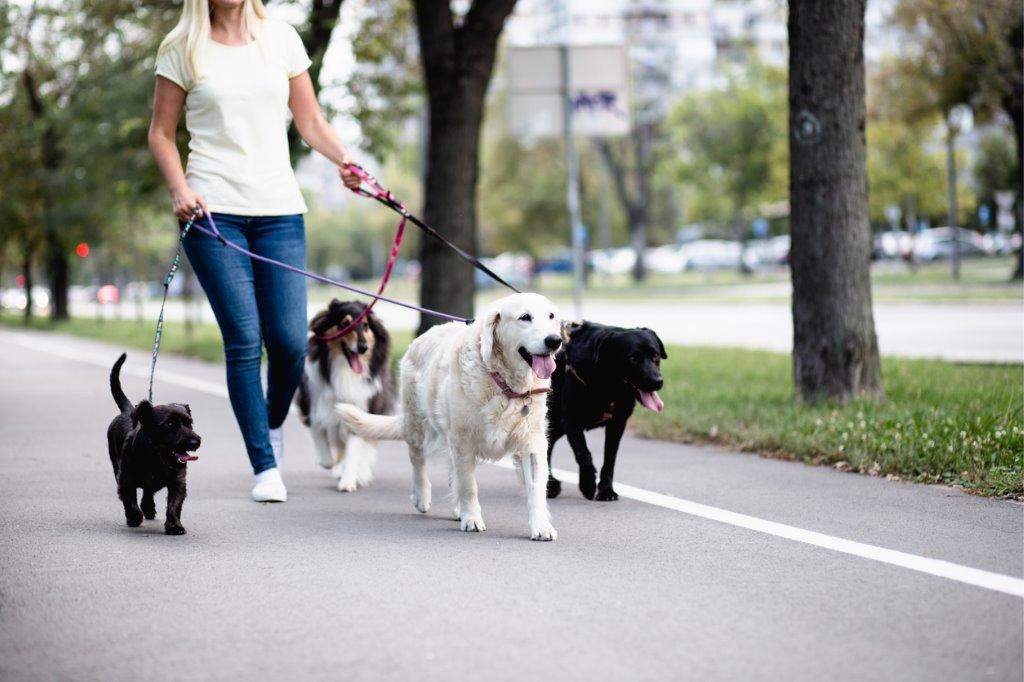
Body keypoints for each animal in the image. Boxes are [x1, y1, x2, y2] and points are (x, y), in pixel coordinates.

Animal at [105, 352, 199, 532]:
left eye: (189, 423)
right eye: (169, 424)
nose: (194, 442)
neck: (156, 457)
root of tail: (129, 410)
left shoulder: (178, 482)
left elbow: (174, 505)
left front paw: (174, 526)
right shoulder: (125, 479)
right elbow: (130, 501)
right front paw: (134, 518)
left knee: (148, 492)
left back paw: (149, 508)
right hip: (115, 465)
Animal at [548, 319, 667, 499]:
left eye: (656, 355)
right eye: (632, 358)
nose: (657, 381)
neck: (608, 385)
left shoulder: (617, 424)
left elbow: (610, 459)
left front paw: (606, 490)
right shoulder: (571, 421)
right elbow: (583, 454)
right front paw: (587, 485)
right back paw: (550, 485)